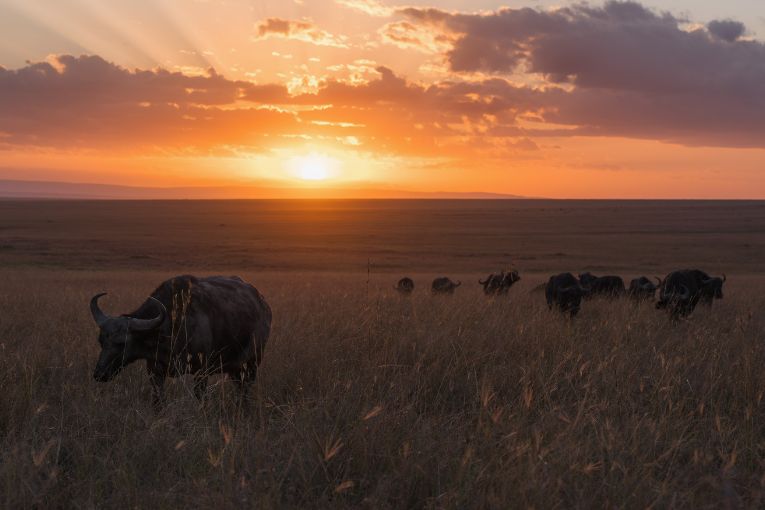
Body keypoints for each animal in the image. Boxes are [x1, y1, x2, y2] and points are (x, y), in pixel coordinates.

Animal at [89, 274, 272, 406]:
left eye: (122, 343)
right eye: (101, 341)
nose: (99, 374)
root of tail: (263, 304)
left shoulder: (201, 371)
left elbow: (200, 397)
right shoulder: (154, 370)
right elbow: (158, 399)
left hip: (251, 363)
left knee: (244, 390)